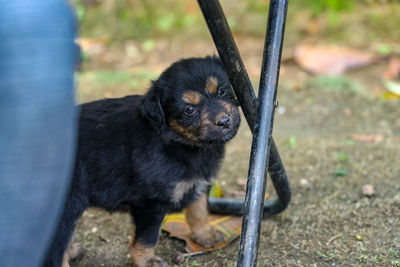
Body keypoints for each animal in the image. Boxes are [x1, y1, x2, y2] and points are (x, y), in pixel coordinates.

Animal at [45, 56, 242, 267]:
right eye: (189, 110)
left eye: (221, 90)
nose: (224, 121)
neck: (178, 141)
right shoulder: (151, 204)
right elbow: (146, 239)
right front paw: (147, 261)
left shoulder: (200, 183)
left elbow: (198, 210)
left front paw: (205, 234)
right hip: (67, 207)